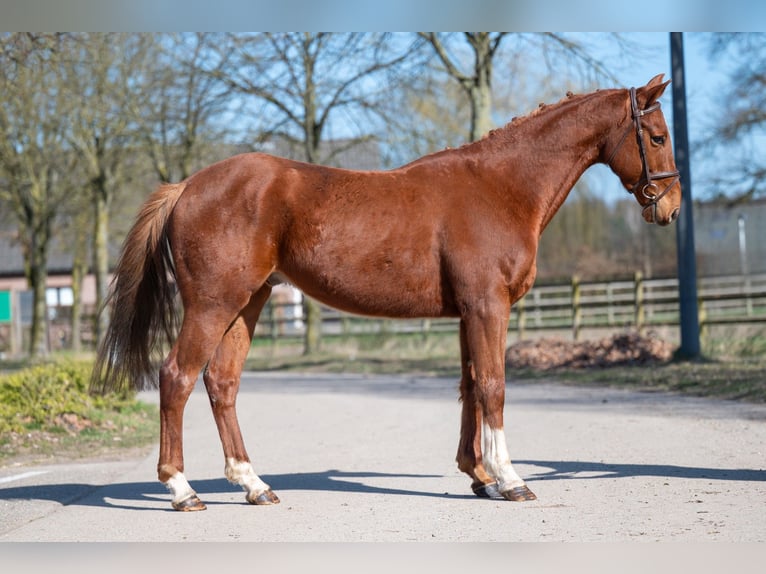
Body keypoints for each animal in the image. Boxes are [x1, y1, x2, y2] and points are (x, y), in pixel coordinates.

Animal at [93, 74, 680, 510]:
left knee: (222, 383)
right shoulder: (487, 307)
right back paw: (182, 489)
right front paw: (510, 480)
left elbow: (470, 386)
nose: (670, 207)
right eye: (655, 137)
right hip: (212, 306)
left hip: (248, 304)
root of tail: (187, 186)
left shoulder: (468, 313)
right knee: (177, 378)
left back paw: (254, 485)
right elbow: (493, 386)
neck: (500, 186)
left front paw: (479, 476)